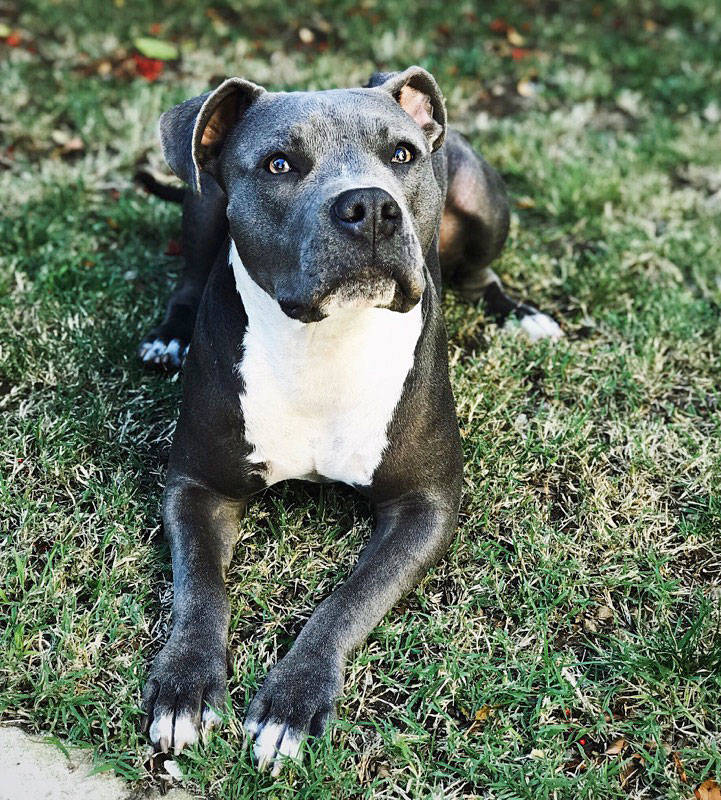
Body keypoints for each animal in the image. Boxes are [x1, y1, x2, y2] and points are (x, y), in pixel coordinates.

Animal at [136, 69, 564, 776]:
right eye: (280, 164)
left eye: (402, 155)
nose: (370, 206)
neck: (324, 343)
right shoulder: (198, 487)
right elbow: (200, 587)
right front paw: (185, 686)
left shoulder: (425, 506)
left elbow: (349, 600)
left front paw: (292, 702)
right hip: (202, 203)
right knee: (188, 278)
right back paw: (169, 337)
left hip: (482, 202)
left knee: (482, 276)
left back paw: (524, 315)